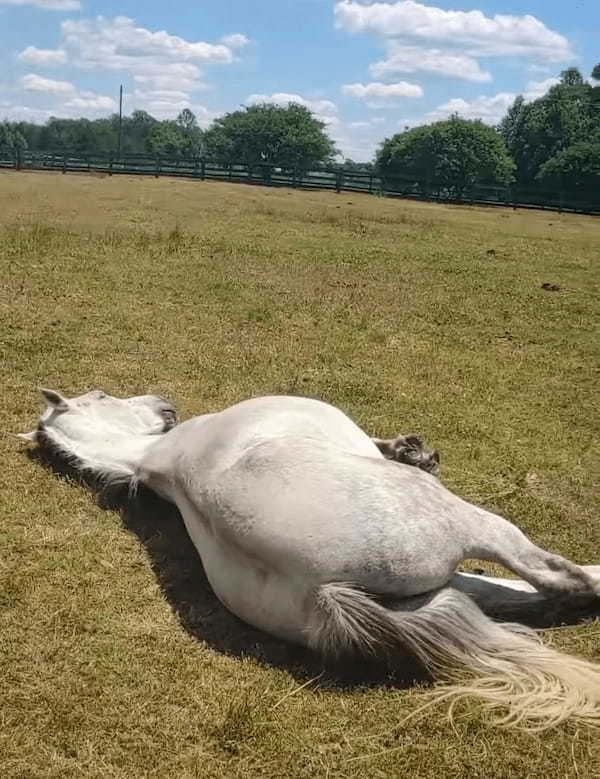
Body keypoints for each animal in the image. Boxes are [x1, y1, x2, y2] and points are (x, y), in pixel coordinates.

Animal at [18, 390, 600, 732]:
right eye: (101, 395)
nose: (164, 403)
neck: (155, 459)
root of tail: (322, 594)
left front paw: (411, 448)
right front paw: (412, 452)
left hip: (431, 590)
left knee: (518, 594)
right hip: (469, 525)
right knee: (556, 578)